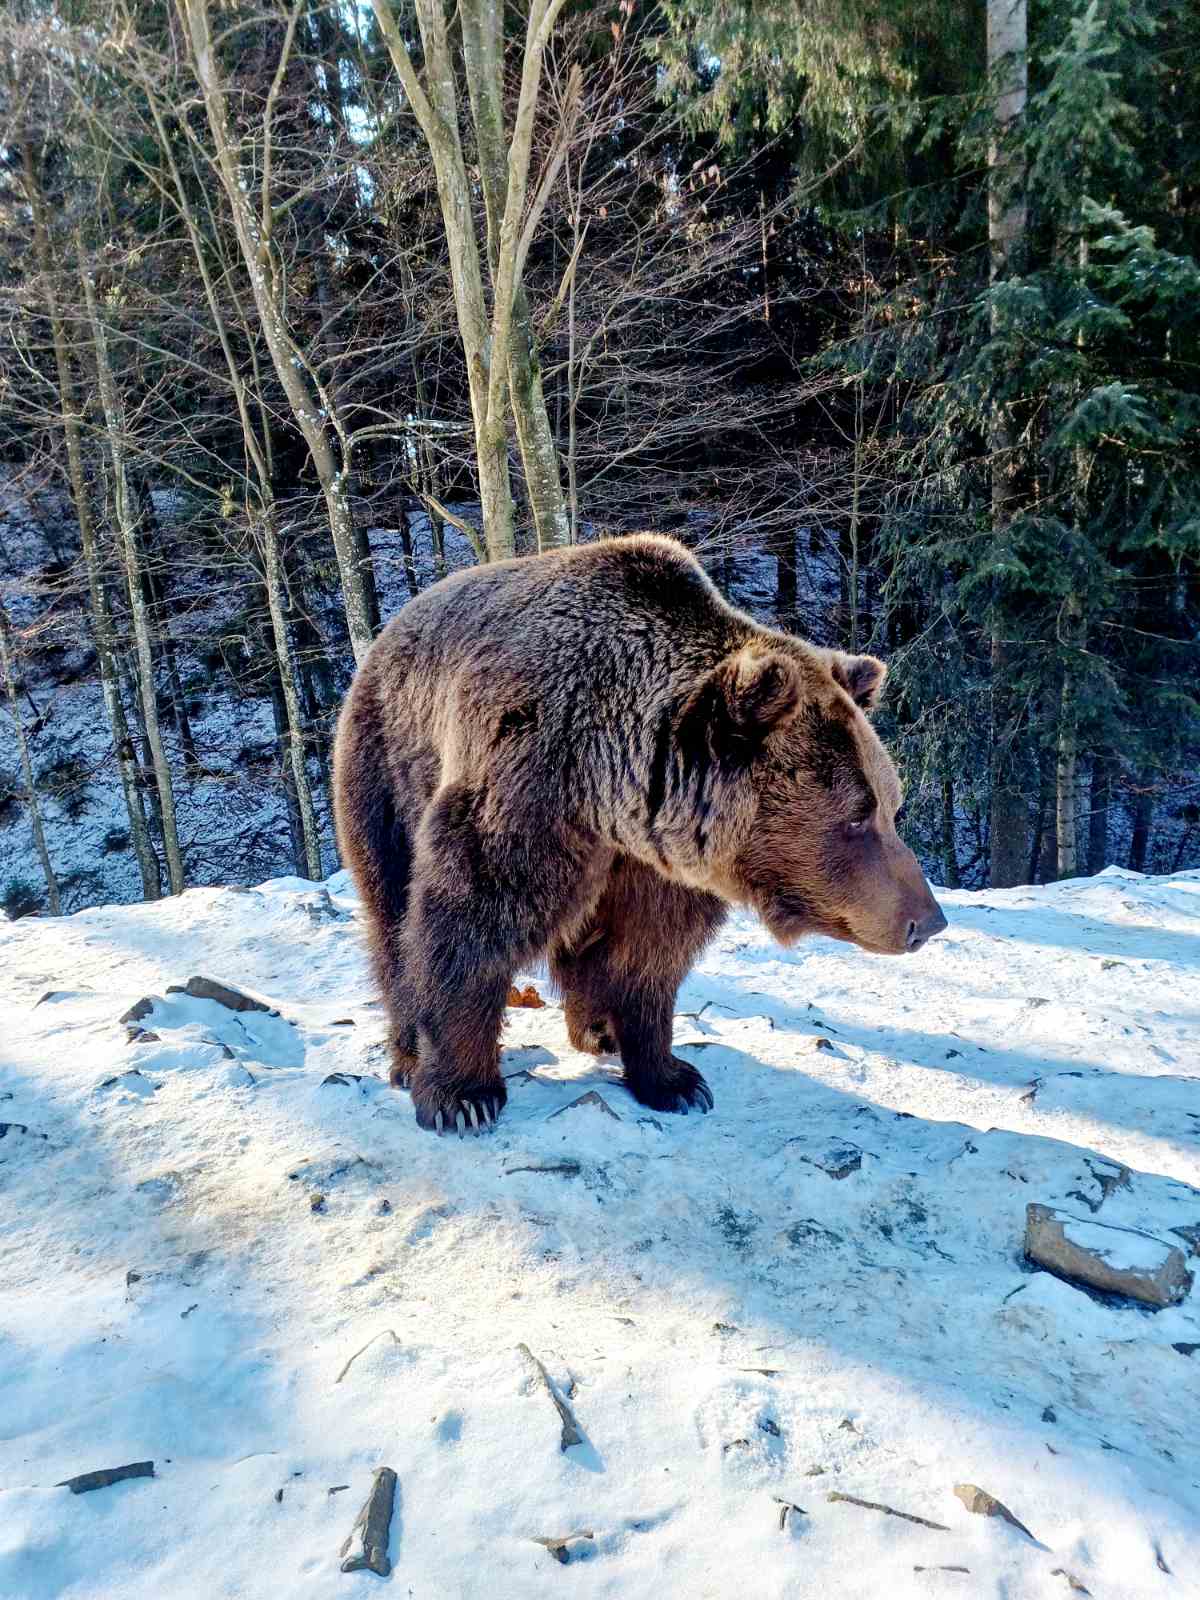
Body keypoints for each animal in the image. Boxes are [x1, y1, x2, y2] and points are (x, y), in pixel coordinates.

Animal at [334, 537, 947, 1139]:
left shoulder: (659, 863)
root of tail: (391, 628)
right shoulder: (524, 790)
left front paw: (672, 1077)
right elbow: (471, 924)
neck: (608, 789)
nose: (928, 921)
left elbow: (648, 956)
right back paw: (407, 1053)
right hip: (386, 771)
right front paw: (462, 1097)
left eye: (891, 803)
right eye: (857, 815)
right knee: (393, 915)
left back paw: (596, 1027)